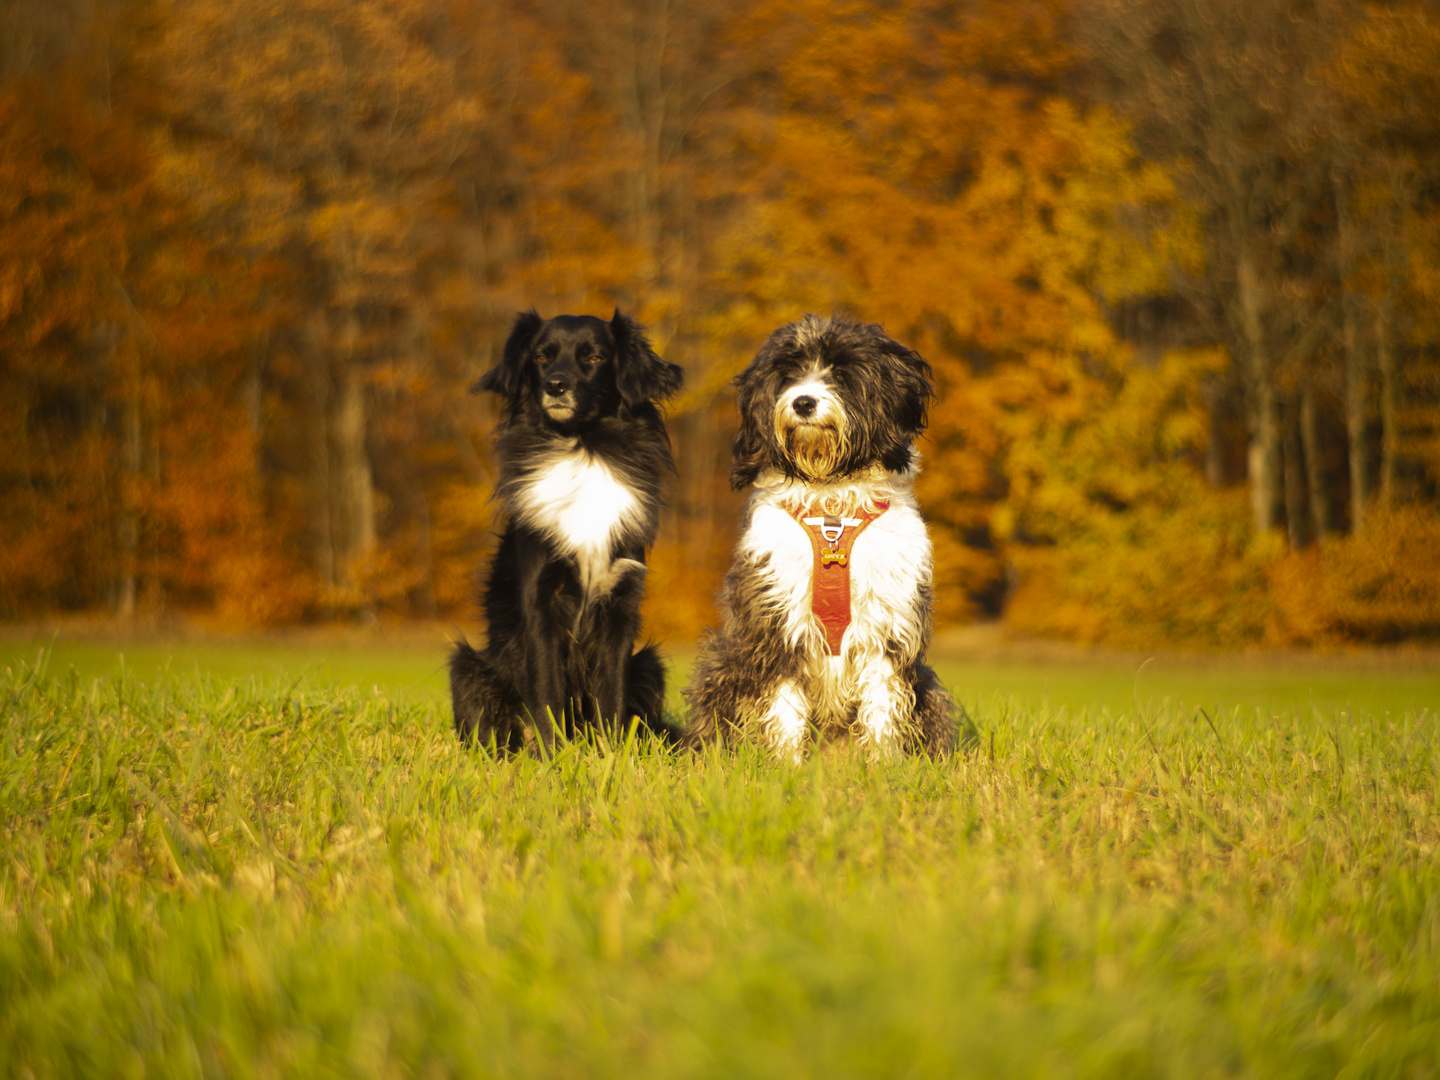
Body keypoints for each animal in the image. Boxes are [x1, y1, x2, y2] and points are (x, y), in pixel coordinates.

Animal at [449, 308, 685, 748]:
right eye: (541, 357)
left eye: (594, 358)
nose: (556, 385)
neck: (583, 449)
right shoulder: (541, 603)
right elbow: (547, 694)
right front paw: (555, 757)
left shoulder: (620, 604)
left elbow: (611, 696)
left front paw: (611, 755)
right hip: (467, 667)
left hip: (650, 664)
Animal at [685, 316, 956, 754]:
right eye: (789, 375)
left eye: (841, 374)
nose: (803, 403)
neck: (831, 506)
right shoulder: (776, 622)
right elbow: (783, 706)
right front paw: (786, 763)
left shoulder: (887, 627)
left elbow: (882, 704)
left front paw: (883, 763)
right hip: (722, 663)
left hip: (927, 687)